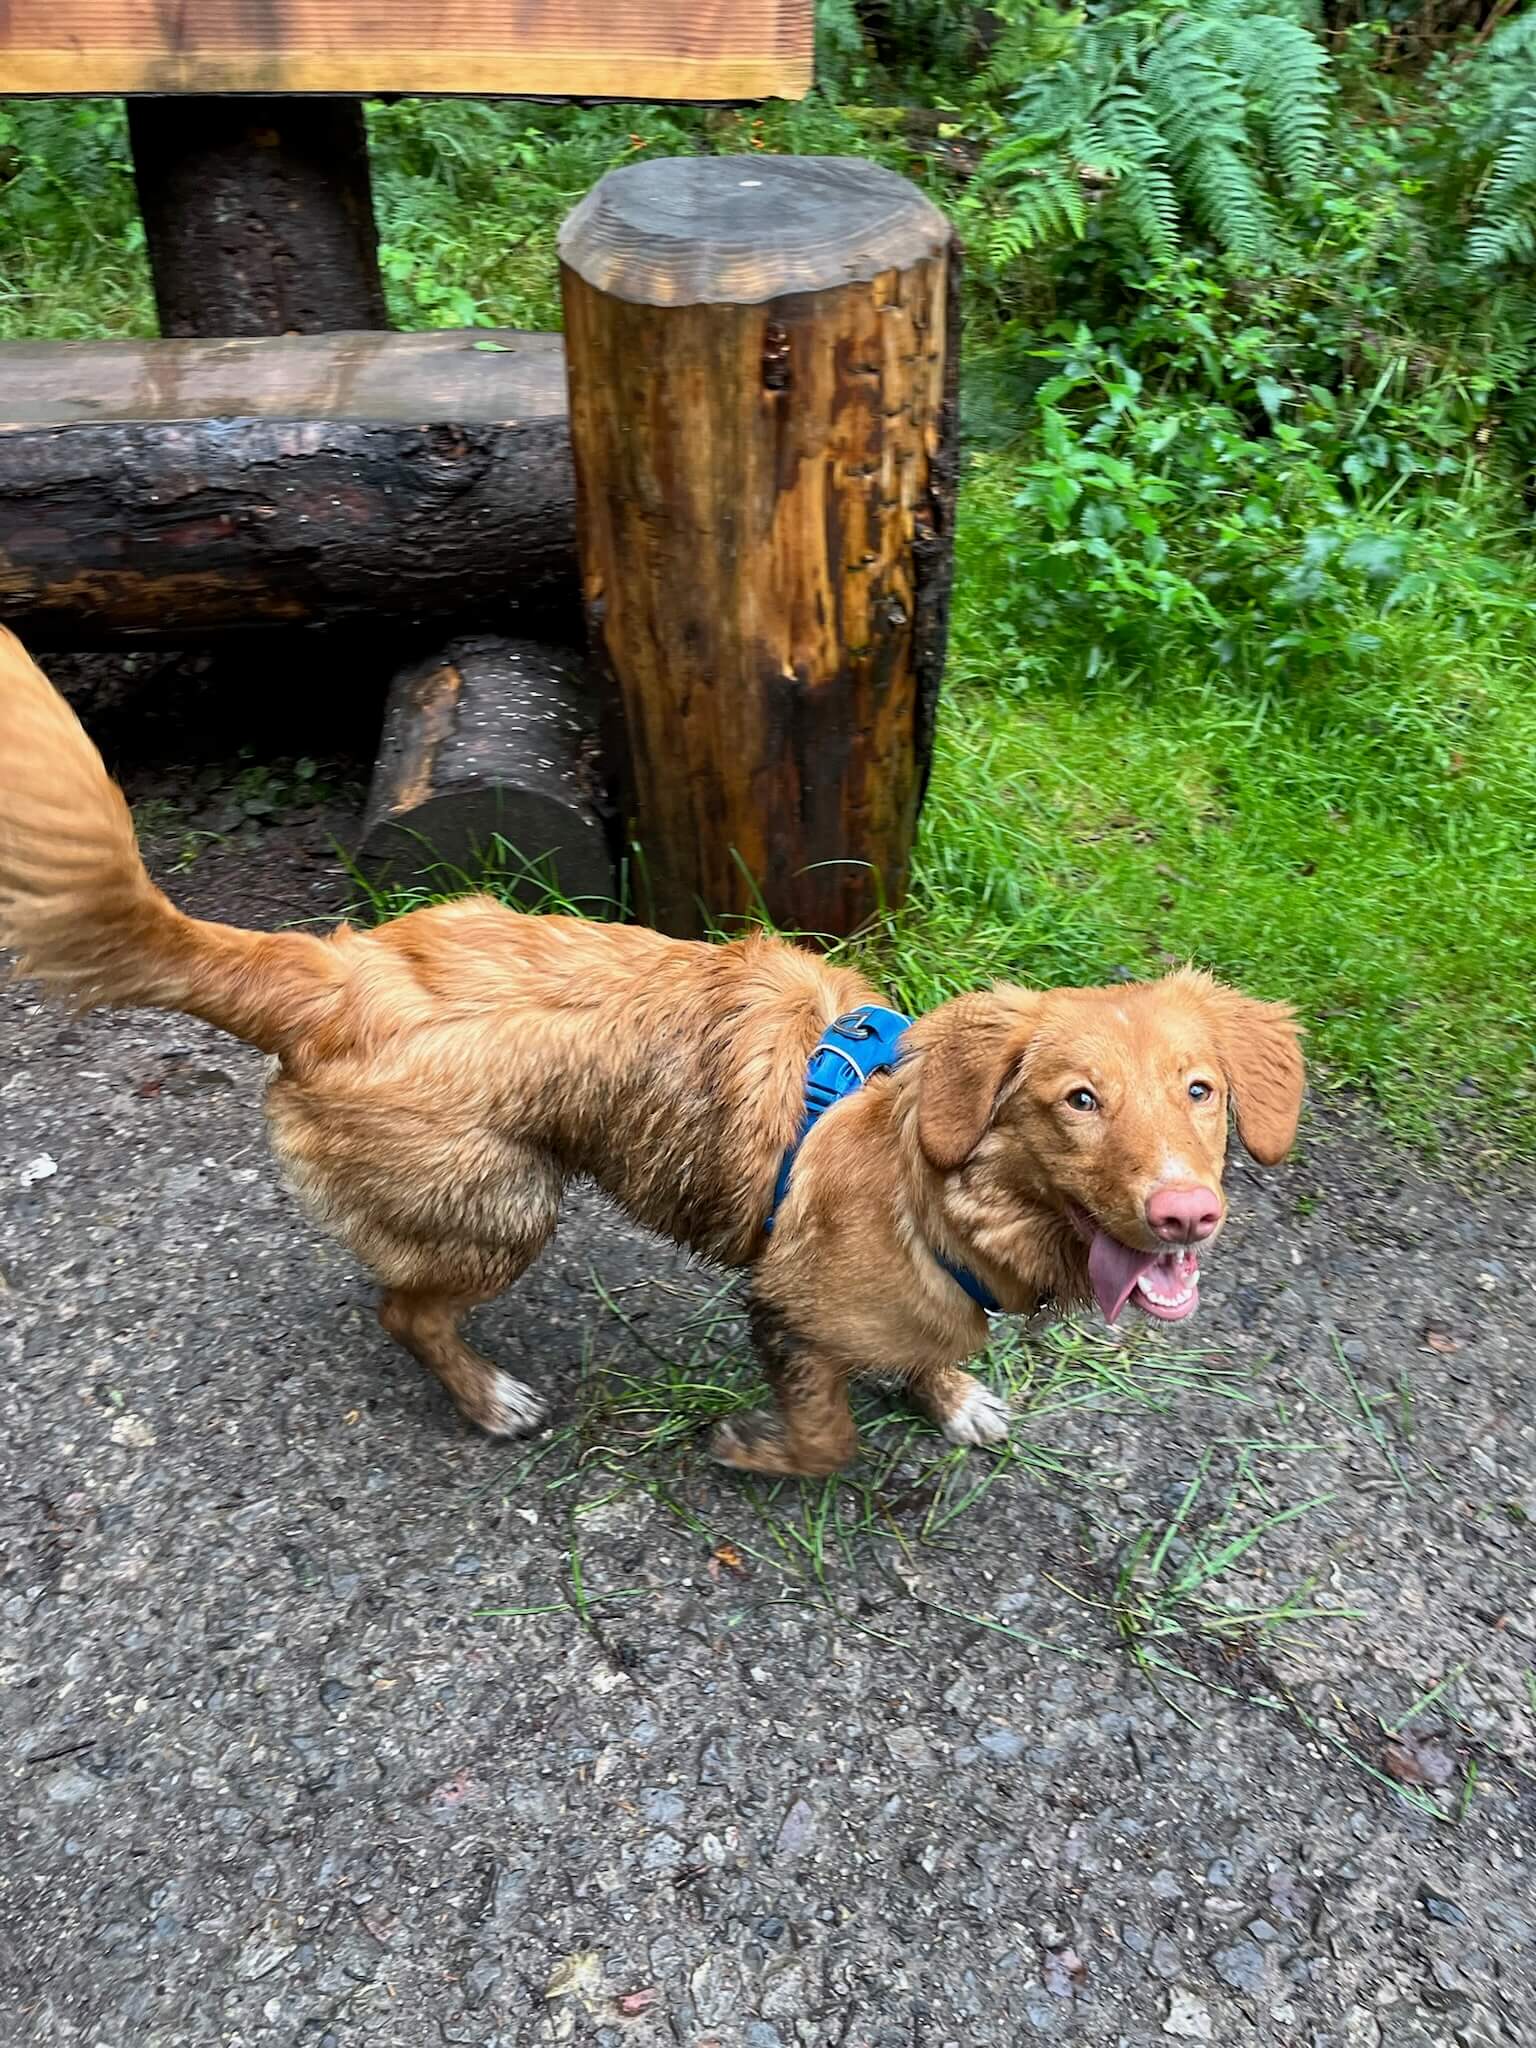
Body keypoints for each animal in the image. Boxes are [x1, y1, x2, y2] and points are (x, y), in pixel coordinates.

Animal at [0, 630, 1302, 1482]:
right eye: (1078, 1099)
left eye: (1200, 1091)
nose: (1187, 1212)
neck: (946, 1182)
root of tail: (333, 973)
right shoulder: (786, 1310)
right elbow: (827, 1438)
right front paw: (756, 1448)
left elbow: (932, 1352)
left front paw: (951, 1395)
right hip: (502, 1212)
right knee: (402, 1310)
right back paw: (488, 1397)